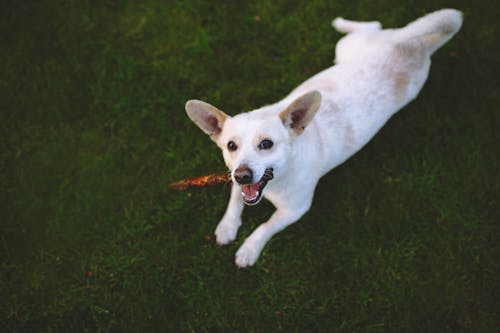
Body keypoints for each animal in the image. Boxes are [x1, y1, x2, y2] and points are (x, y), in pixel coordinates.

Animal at [186, 9, 462, 266]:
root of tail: (417, 44)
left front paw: (249, 249)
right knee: (374, 25)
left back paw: (341, 22)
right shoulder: (235, 178)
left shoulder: (295, 210)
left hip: (355, 48)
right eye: (231, 146)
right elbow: (235, 199)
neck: (279, 179)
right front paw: (227, 227)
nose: (243, 175)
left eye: (266, 144)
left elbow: (265, 226)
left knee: (372, 24)